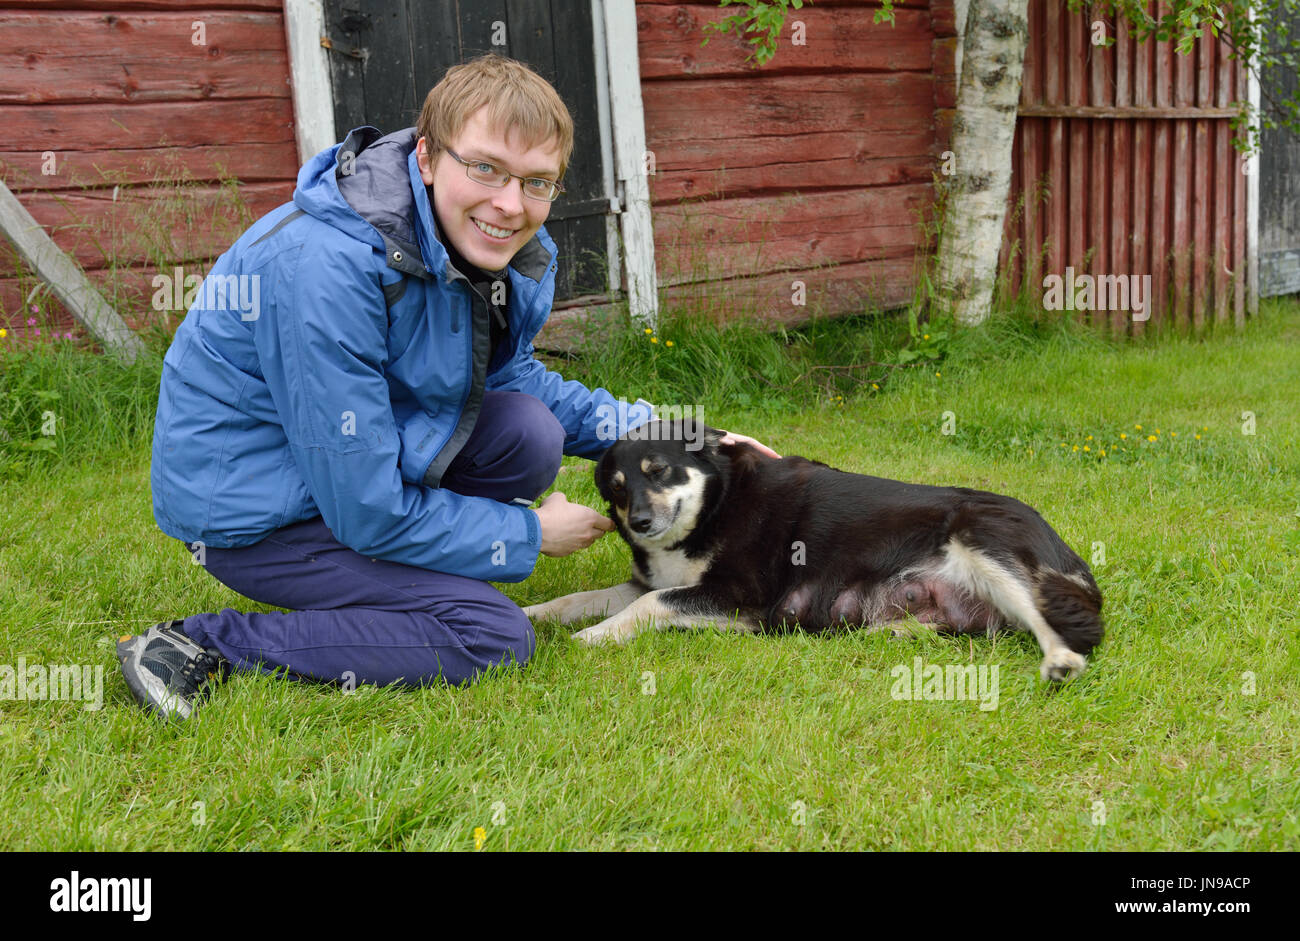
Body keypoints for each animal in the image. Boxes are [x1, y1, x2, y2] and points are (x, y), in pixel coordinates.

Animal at [522, 423, 1102, 681]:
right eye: (616, 489)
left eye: (658, 471)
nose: (640, 523)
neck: (716, 504)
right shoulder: (650, 581)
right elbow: (578, 599)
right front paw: (532, 614)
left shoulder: (744, 599)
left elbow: (649, 606)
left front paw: (594, 637)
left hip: (982, 541)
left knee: (1058, 625)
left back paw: (1060, 660)